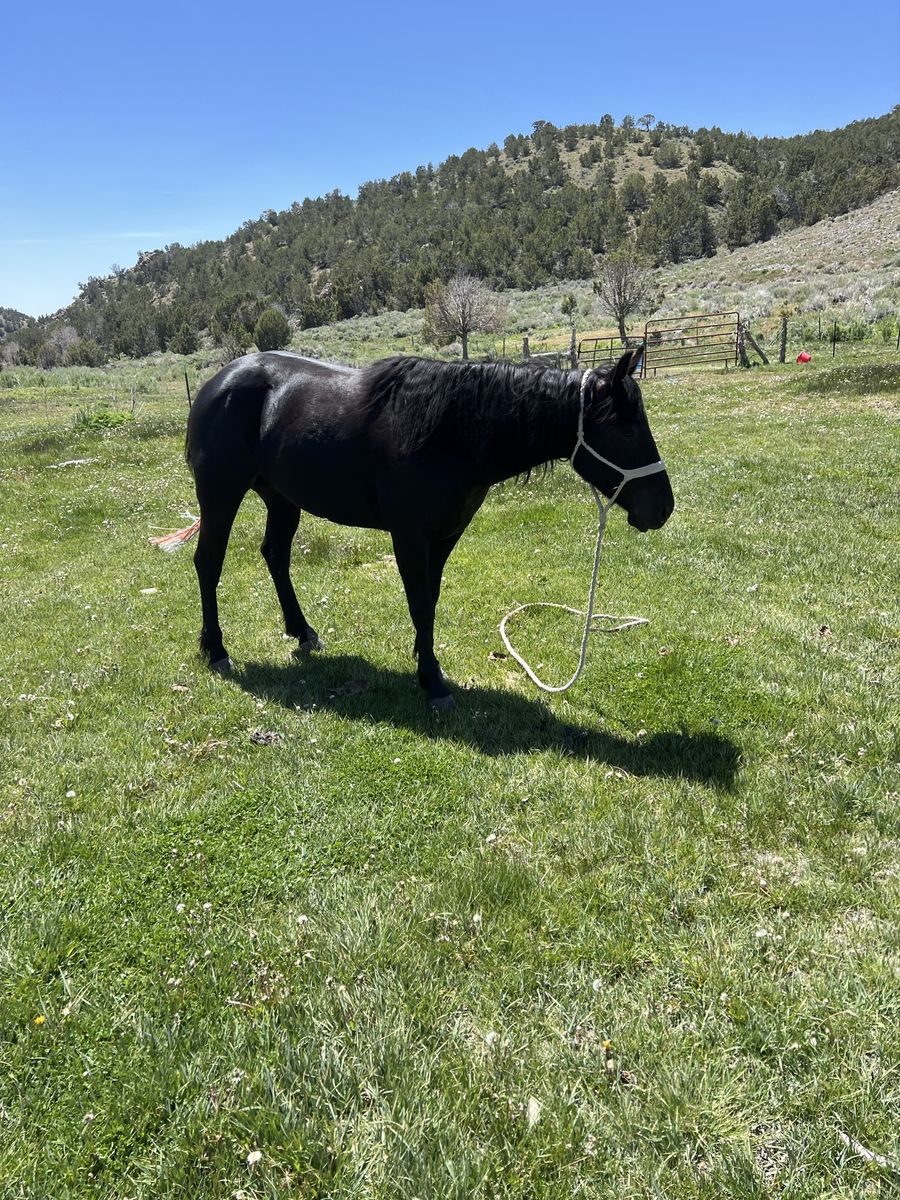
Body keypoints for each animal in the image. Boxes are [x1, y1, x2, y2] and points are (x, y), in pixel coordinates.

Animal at [183, 348, 674, 707]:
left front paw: (427, 660)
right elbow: (419, 602)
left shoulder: (445, 535)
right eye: (627, 431)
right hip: (221, 496)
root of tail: (217, 382)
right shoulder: (409, 536)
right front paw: (431, 682)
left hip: (283, 500)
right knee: (208, 563)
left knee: (275, 556)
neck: (451, 432)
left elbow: (431, 600)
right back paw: (217, 650)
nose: (663, 508)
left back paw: (302, 632)